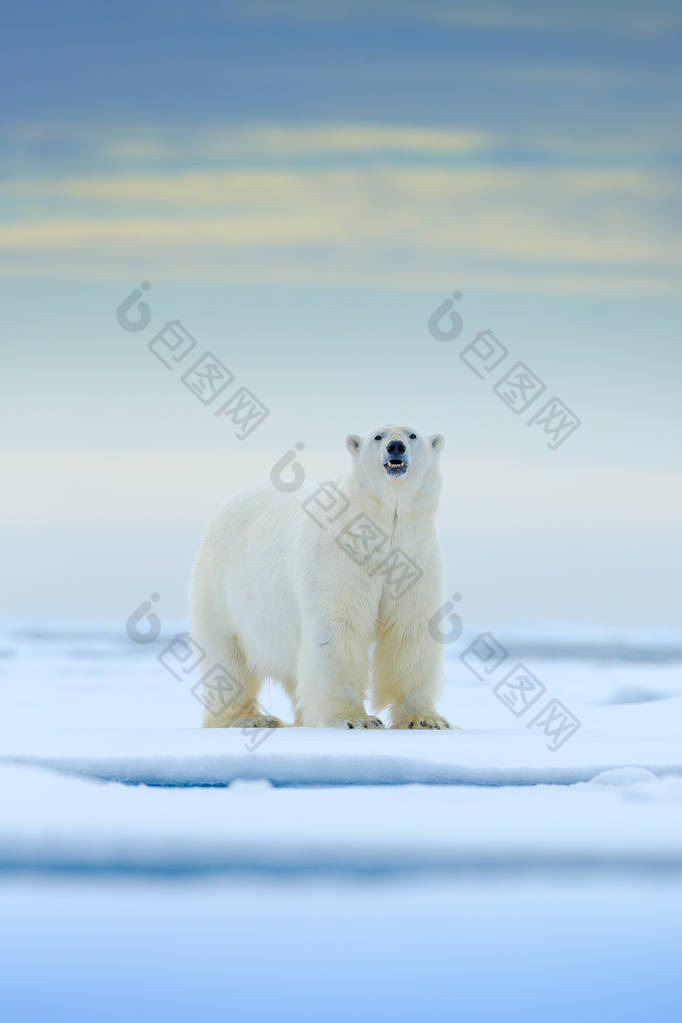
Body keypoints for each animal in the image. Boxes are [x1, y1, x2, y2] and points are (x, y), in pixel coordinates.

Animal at [189, 423, 449, 728]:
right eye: (378, 436)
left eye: (412, 435)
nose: (395, 447)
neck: (379, 526)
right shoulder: (340, 557)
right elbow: (338, 627)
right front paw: (355, 719)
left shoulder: (414, 557)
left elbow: (410, 630)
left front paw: (425, 719)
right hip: (219, 589)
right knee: (227, 659)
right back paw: (251, 719)